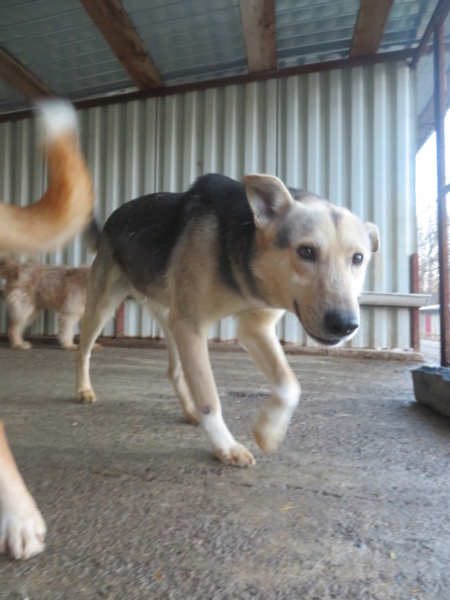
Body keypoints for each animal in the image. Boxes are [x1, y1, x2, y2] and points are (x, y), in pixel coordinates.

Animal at [75, 173, 378, 468]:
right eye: (306, 251)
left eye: (358, 258)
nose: (345, 324)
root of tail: (110, 222)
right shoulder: (192, 326)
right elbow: (210, 398)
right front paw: (225, 447)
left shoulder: (254, 328)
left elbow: (290, 385)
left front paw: (268, 431)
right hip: (105, 306)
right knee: (84, 350)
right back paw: (83, 389)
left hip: (170, 317)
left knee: (175, 370)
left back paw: (189, 409)